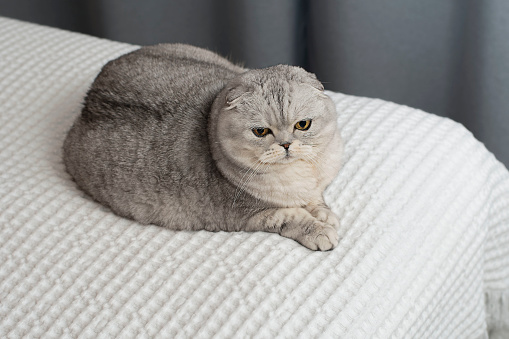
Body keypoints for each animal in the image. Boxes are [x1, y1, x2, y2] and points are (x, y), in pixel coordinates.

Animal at [62, 43, 342, 251]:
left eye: (303, 125)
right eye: (261, 131)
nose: (285, 144)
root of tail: (89, 98)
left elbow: (317, 199)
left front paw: (325, 214)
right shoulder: (251, 214)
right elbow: (292, 216)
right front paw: (320, 230)